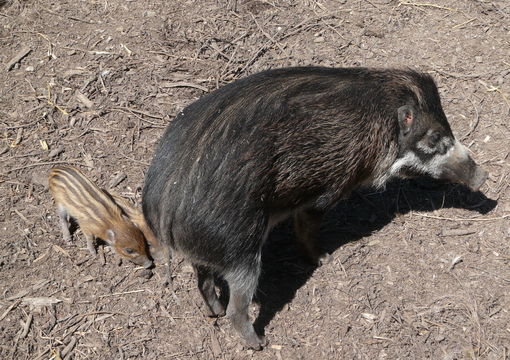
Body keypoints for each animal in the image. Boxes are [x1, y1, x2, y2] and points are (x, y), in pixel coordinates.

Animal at [142, 67, 486, 348]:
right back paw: (259, 343)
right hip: (241, 249)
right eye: (434, 139)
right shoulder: (330, 187)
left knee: (203, 281)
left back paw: (213, 313)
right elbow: (307, 225)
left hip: (209, 252)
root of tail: (164, 207)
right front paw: (324, 259)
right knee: (236, 307)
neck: (378, 128)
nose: (483, 177)